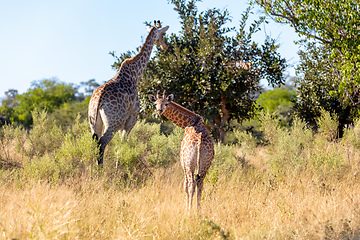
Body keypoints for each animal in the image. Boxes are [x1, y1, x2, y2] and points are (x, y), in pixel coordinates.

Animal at [89, 21, 169, 165]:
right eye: (163, 34)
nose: (165, 46)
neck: (135, 75)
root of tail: (98, 101)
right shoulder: (132, 117)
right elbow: (122, 145)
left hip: (94, 122)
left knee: (95, 143)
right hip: (113, 123)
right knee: (102, 143)